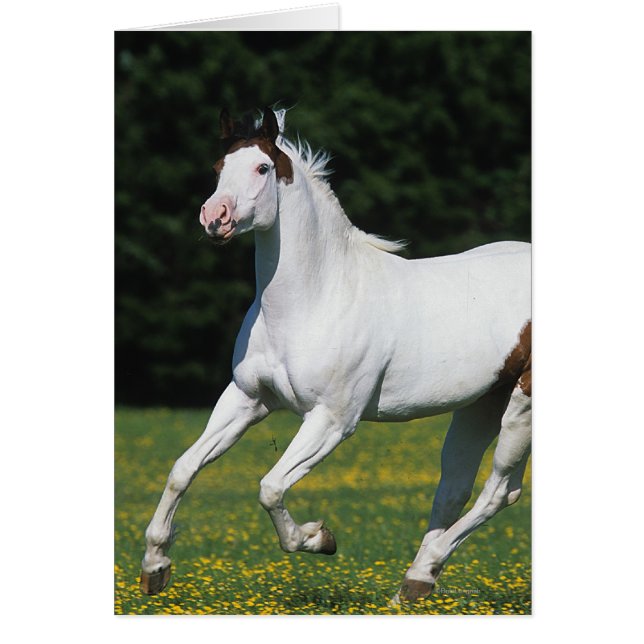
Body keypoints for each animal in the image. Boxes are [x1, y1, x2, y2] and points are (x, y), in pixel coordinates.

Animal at [140, 107, 532, 604]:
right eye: (217, 168)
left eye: (262, 168)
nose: (215, 217)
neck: (316, 297)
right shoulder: (247, 399)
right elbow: (182, 468)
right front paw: (155, 566)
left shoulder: (333, 419)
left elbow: (270, 488)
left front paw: (319, 538)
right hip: (482, 403)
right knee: (455, 487)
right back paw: (414, 583)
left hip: (522, 404)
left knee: (500, 491)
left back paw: (423, 571)